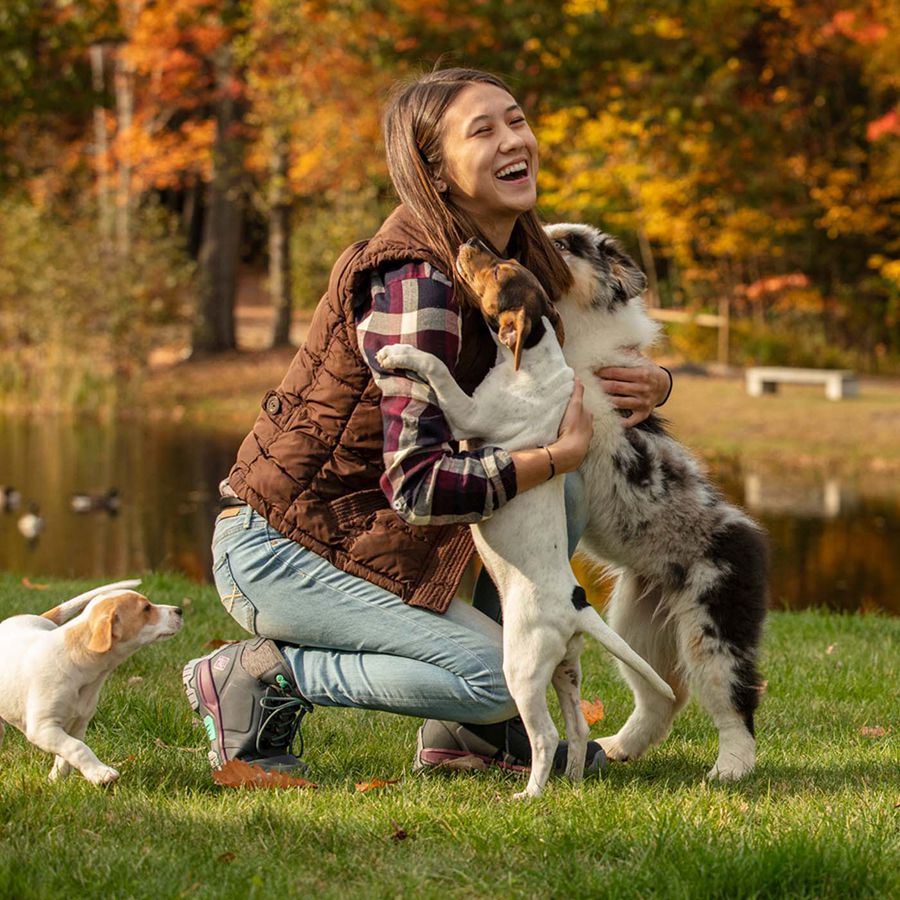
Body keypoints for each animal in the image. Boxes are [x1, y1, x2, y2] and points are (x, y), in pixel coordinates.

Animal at [0, 580, 183, 784]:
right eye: (146, 608)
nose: (179, 610)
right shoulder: (42, 728)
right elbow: (77, 748)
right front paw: (101, 774)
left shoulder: (78, 724)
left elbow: (67, 753)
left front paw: (57, 780)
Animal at [374, 236, 676, 800]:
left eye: (500, 271)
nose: (471, 242)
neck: (536, 354)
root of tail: (577, 605)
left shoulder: (466, 413)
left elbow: (439, 370)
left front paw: (399, 353)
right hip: (566, 668)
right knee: (576, 727)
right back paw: (573, 781)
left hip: (523, 665)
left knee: (547, 733)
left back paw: (531, 794)